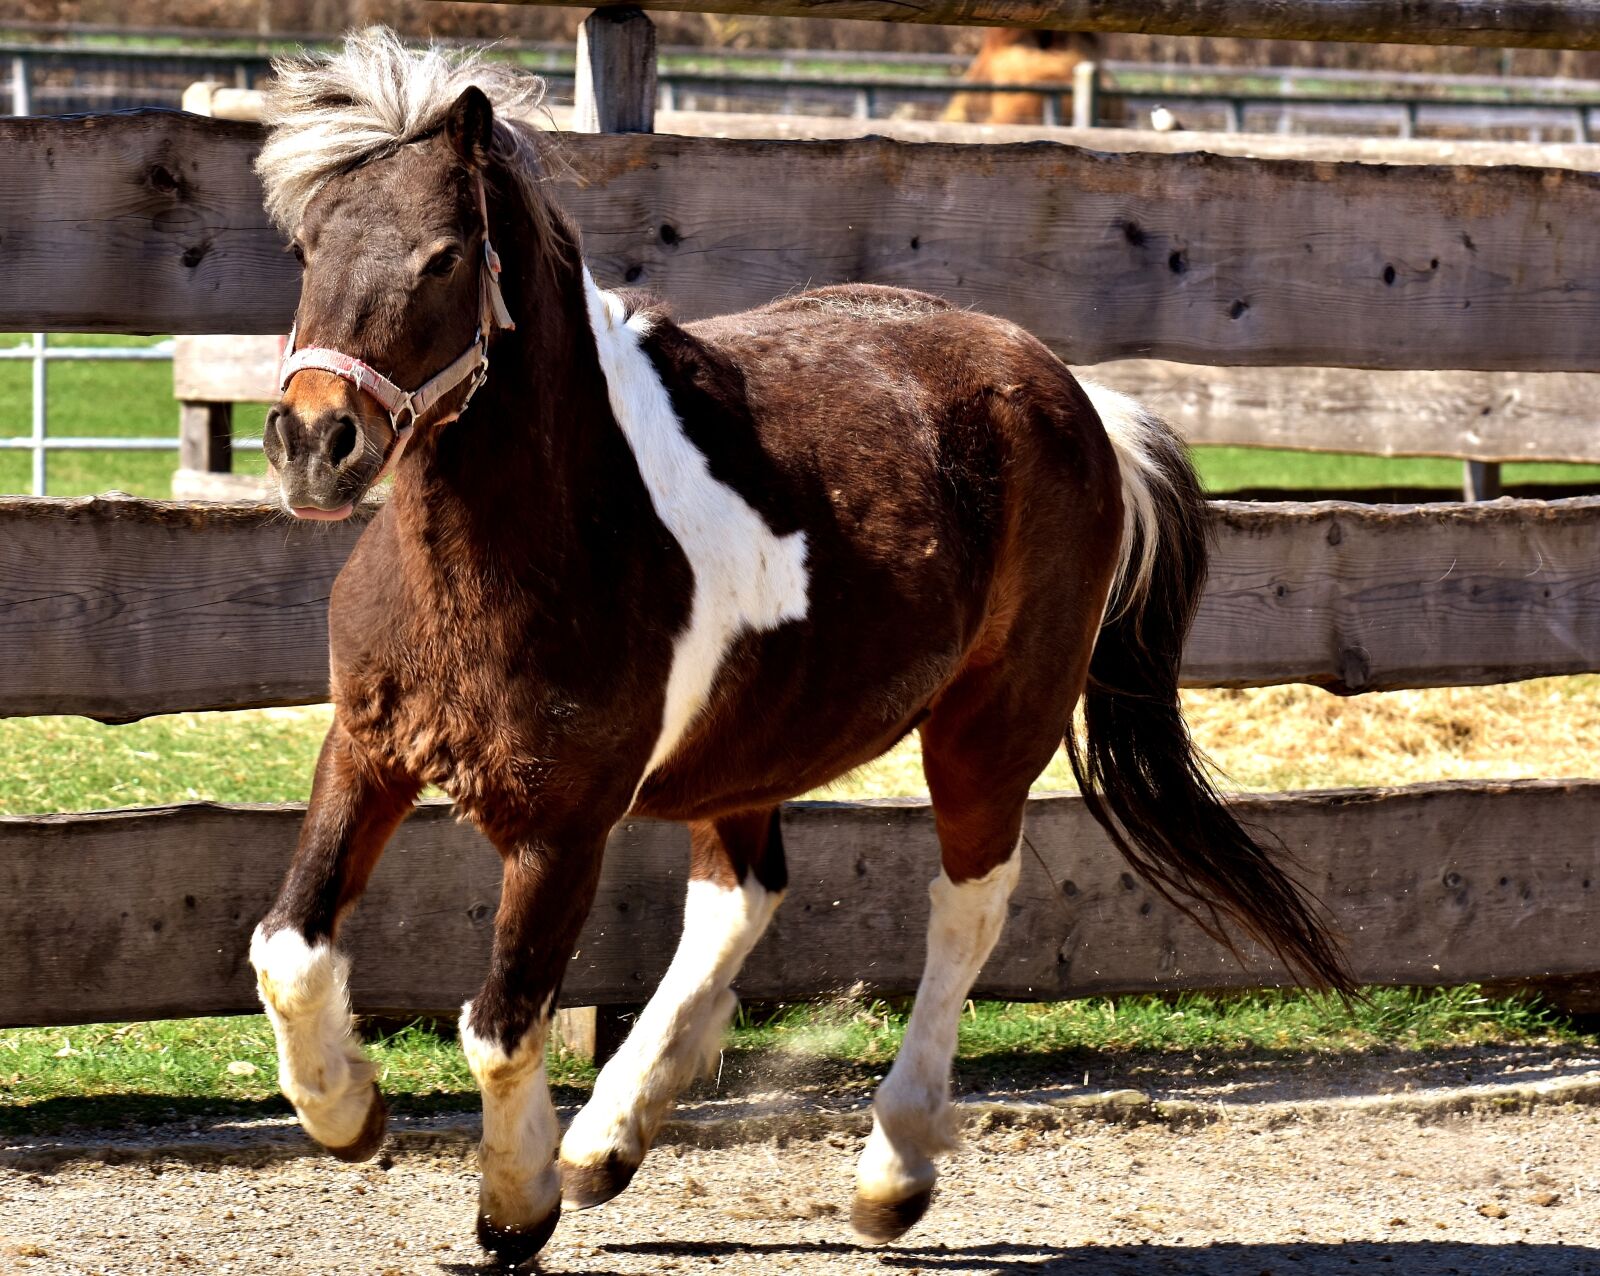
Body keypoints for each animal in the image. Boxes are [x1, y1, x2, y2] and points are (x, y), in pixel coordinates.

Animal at [247, 30, 1350, 1266]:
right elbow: (288, 948)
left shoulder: (562, 819)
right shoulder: (368, 750)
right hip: (755, 744)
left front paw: (513, 1203)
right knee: (742, 895)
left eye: (442, 258)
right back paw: (607, 1140)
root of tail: (1075, 397)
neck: (548, 534)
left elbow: (502, 1021)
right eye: (309, 244)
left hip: (987, 729)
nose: (313, 442)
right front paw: (349, 1112)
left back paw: (890, 1171)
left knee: (965, 906)